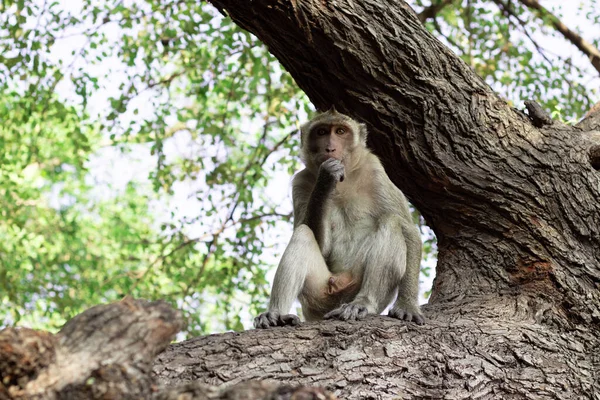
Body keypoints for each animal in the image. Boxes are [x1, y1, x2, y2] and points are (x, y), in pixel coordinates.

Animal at [255, 107, 424, 328]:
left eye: (341, 131)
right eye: (321, 132)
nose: (330, 148)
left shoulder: (375, 171)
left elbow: (409, 231)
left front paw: (407, 305)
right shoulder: (300, 183)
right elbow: (321, 245)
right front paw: (325, 180)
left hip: (353, 286)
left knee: (391, 222)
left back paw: (363, 304)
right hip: (319, 297)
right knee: (303, 233)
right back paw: (276, 314)